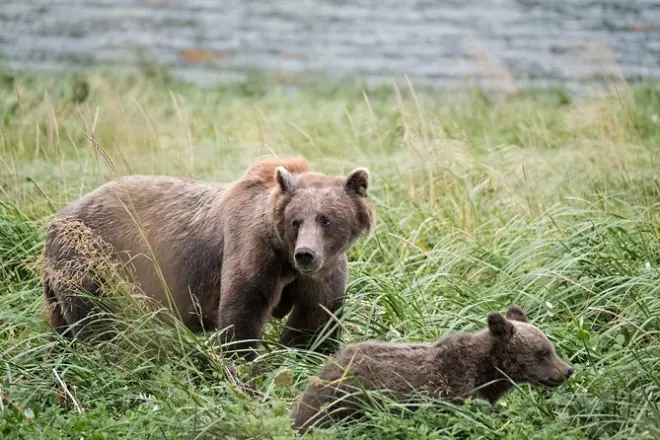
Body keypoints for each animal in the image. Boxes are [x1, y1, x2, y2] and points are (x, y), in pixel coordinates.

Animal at [41, 156, 375, 361]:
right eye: (296, 221)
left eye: (326, 219)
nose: (306, 254)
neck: (284, 256)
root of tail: (55, 219)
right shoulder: (252, 251)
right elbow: (242, 312)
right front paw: (242, 363)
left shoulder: (323, 273)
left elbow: (314, 321)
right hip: (92, 259)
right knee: (98, 321)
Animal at [292, 306, 574, 433]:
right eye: (543, 352)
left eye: (551, 347)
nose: (568, 369)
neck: (487, 372)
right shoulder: (452, 390)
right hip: (342, 402)